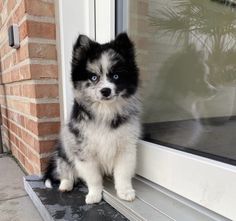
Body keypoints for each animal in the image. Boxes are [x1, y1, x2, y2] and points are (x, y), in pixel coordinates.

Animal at [43, 32, 141, 204]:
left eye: (116, 76)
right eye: (94, 77)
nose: (105, 91)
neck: (105, 111)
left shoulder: (126, 148)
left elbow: (122, 174)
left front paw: (125, 191)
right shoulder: (84, 149)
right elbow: (93, 178)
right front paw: (94, 195)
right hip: (65, 150)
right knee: (65, 170)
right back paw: (65, 184)